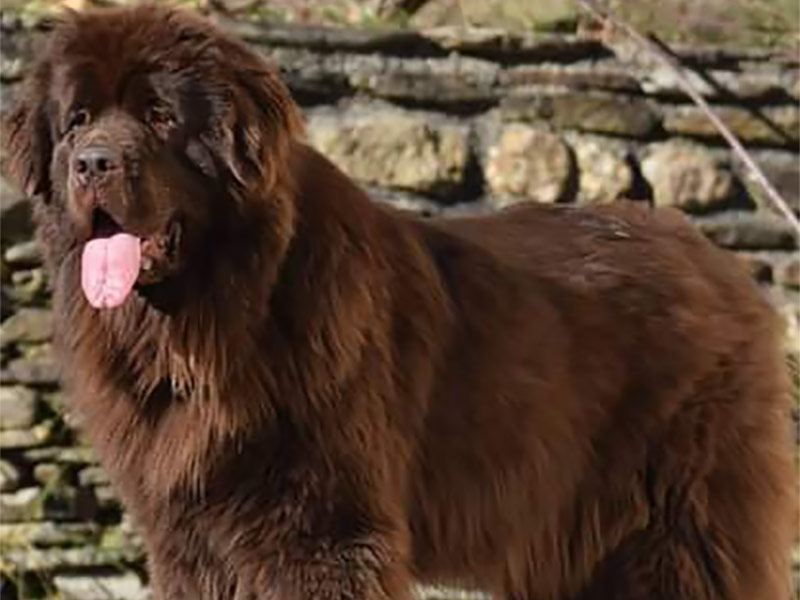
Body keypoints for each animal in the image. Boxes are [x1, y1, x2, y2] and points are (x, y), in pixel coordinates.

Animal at [3, 5, 796, 600]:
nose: (93, 163)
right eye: (76, 120)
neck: (218, 317)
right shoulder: (190, 537)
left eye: (162, 116)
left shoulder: (321, 531)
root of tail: (719, 261)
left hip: (678, 528)